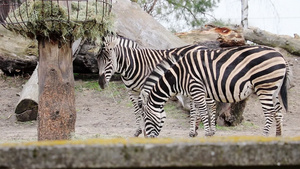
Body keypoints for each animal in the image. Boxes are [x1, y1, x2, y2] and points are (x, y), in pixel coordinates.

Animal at [140, 45, 290, 138]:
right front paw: (193, 133)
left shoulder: (197, 89)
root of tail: (280, 55)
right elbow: (194, 112)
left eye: (146, 118)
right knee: (278, 111)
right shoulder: (193, 92)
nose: (147, 138)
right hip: (274, 89)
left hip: (264, 86)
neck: (179, 75)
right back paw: (278, 136)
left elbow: (203, 112)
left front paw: (207, 133)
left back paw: (264, 136)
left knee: (269, 112)